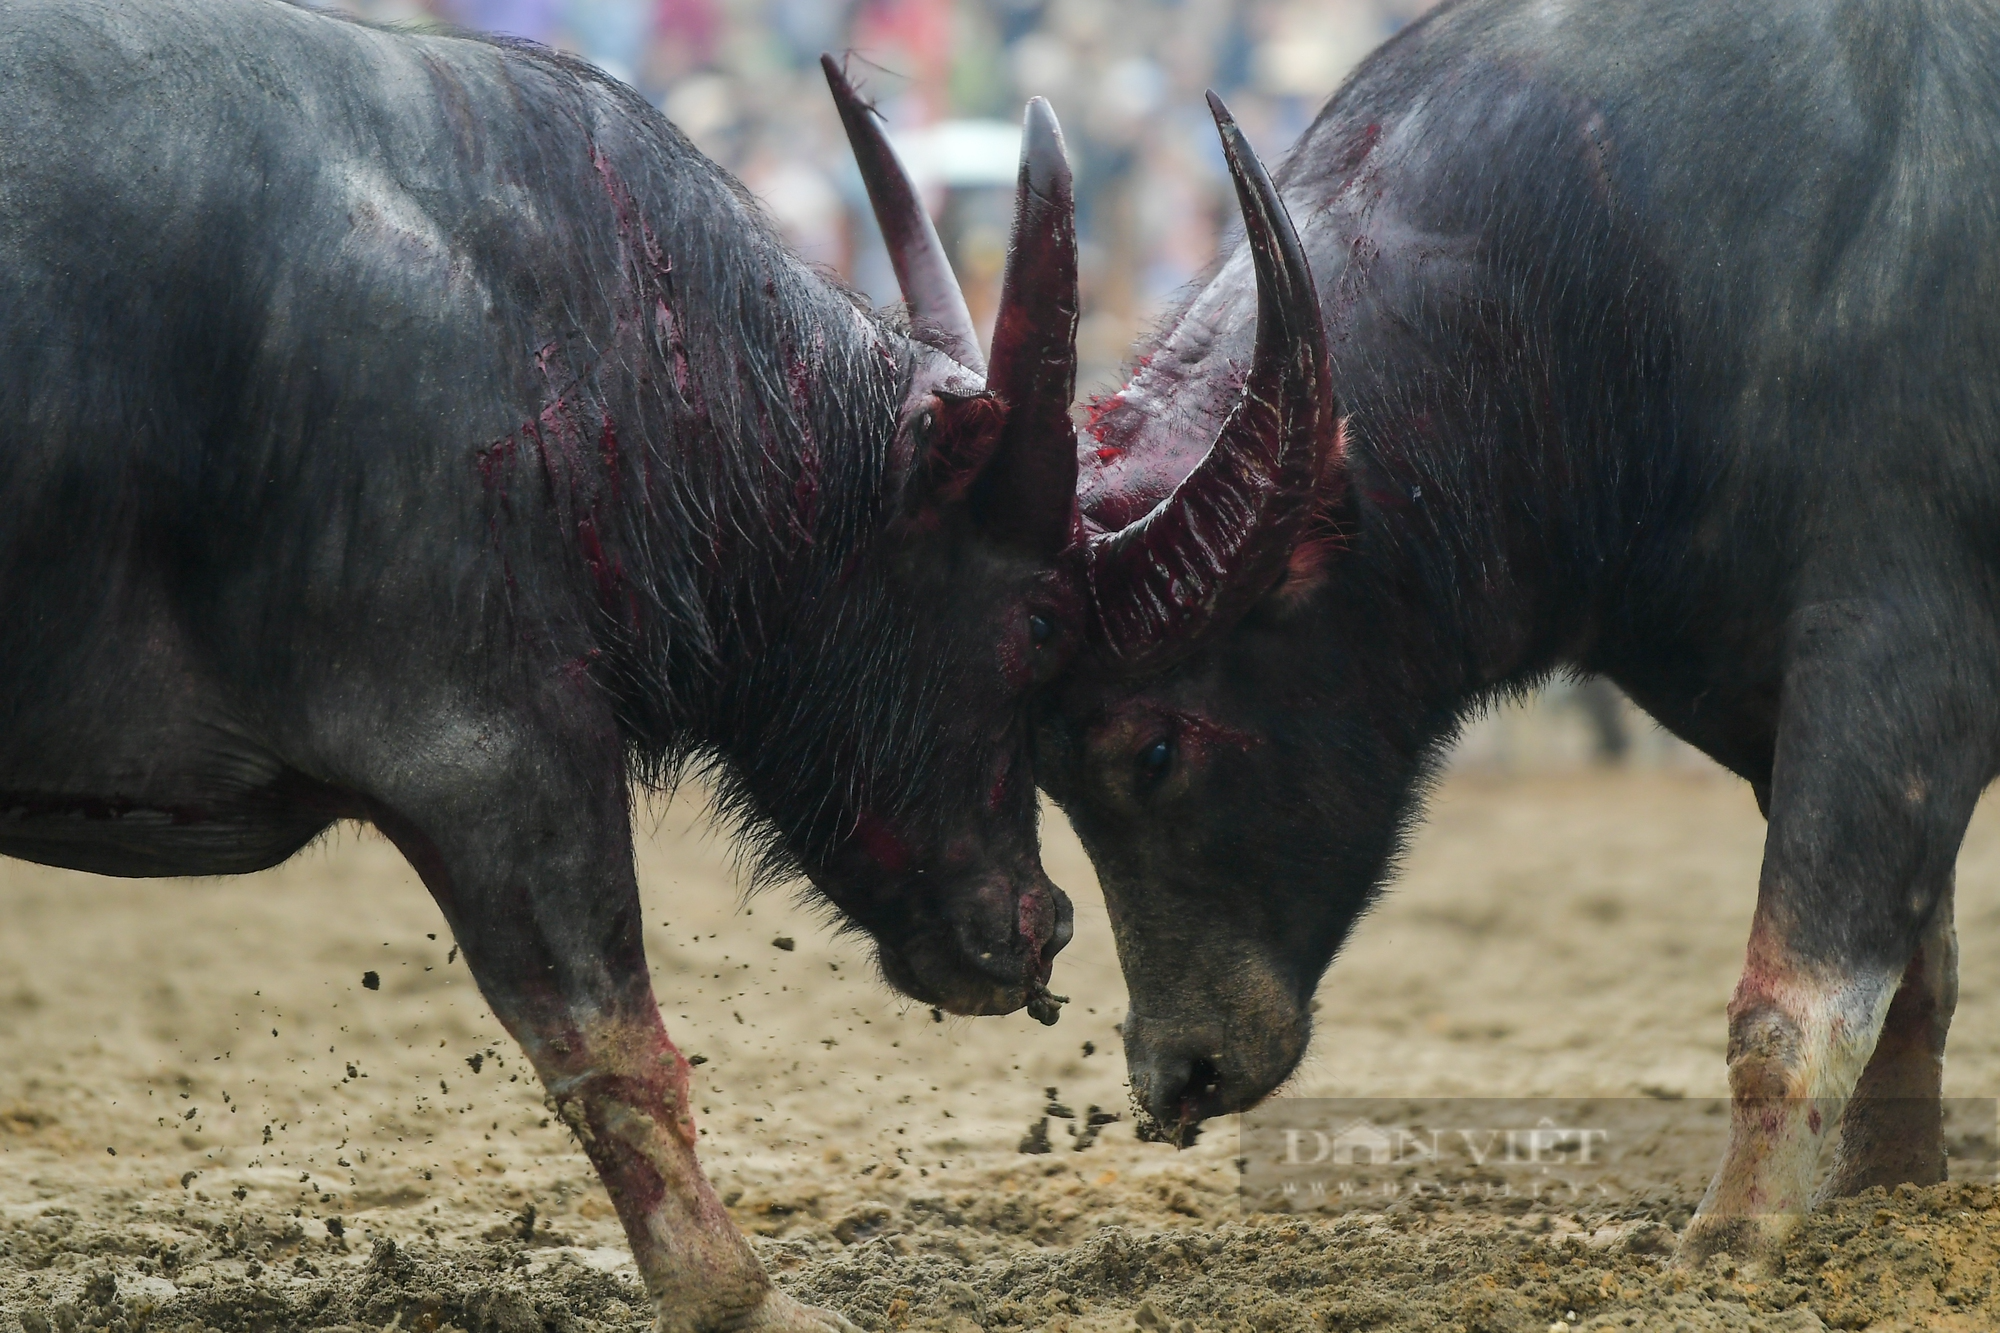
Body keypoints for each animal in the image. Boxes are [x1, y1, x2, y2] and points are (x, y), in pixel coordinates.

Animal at [1040, 0, 1992, 1256]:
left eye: (1150, 750)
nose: (1170, 1071)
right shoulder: (1769, 703)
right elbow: (1912, 980)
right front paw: (1888, 1198)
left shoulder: (1895, 665)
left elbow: (1791, 1002)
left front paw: (1731, 1237)